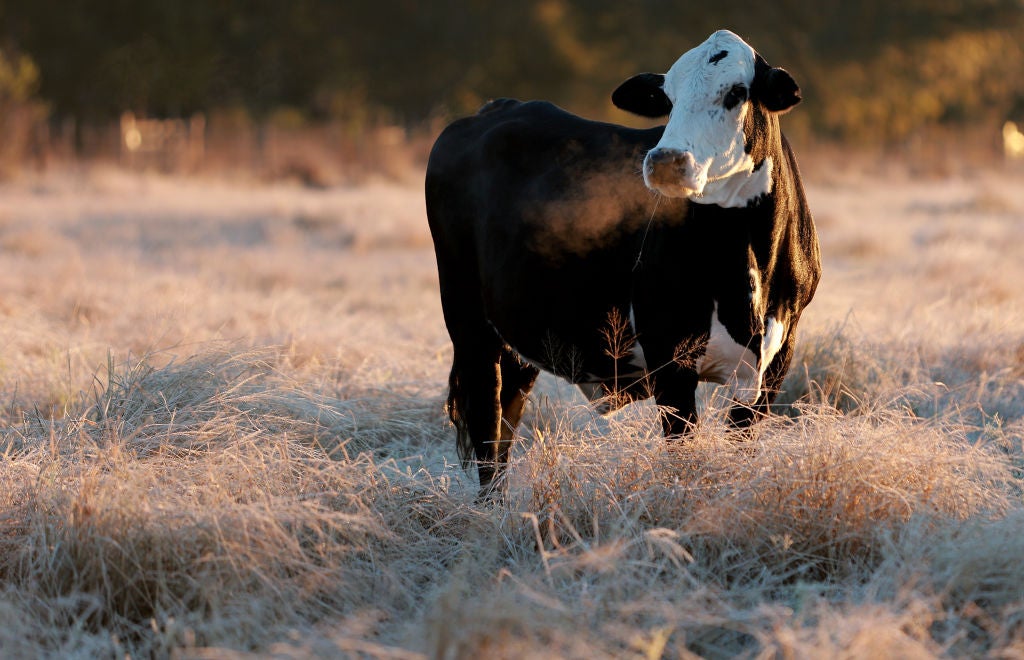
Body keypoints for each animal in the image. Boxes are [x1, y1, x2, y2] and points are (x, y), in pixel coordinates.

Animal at [425, 32, 823, 495]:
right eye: (668, 98)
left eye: (736, 93)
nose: (667, 160)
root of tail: (494, 109)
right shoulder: (669, 353)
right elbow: (683, 453)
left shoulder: (775, 360)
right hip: (467, 320)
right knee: (486, 426)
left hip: (519, 333)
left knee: (506, 420)